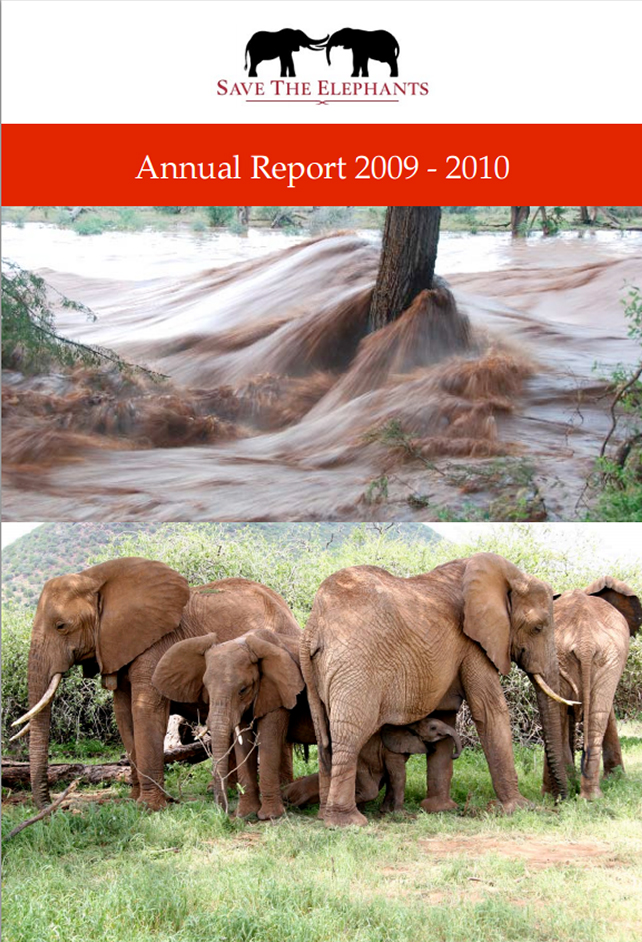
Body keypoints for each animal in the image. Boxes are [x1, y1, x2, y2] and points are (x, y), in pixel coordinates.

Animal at [12, 559, 300, 810]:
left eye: (61, 626)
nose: (55, 806)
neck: (94, 578)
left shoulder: (156, 645)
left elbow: (146, 712)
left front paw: (149, 807)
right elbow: (123, 716)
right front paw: (133, 800)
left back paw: (282, 789)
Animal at [152, 627, 310, 819]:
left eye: (243, 690)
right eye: (206, 689)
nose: (223, 812)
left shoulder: (278, 691)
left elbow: (268, 741)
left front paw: (269, 816)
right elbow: (243, 743)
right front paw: (244, 815)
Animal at [283, 716, 462, 814]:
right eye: (433, 727)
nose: (454, 755)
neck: (409, 725)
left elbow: (391, 777)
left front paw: (385, 811)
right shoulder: (391, 750)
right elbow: (398, 776)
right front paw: (400, 813)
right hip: (359, 766)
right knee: (371, 789)